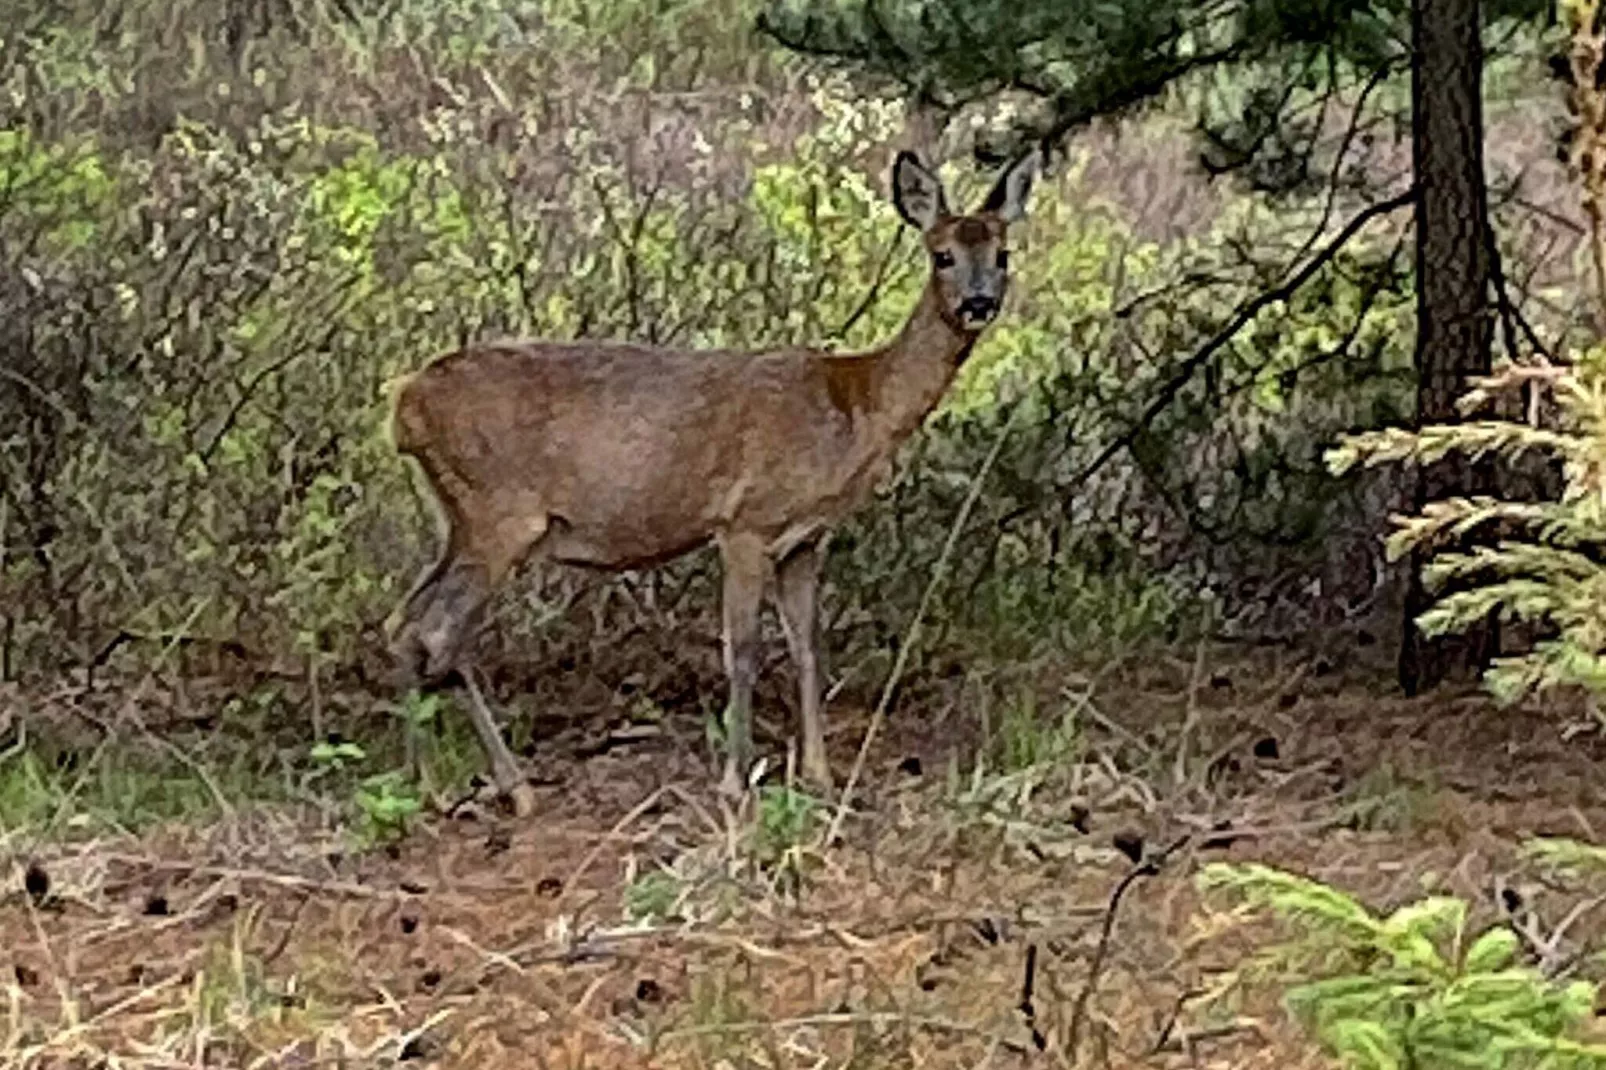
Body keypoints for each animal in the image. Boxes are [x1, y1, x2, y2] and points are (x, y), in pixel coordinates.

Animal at [383, 141, 1047, 809]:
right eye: (942, 255)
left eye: (1003, 253)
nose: (979, 303)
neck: (854, 404)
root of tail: (405, 407)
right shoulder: (745, 522)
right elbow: (744, 651)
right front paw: (735, 780)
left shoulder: (805, 538)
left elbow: (808, 649)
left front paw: (819, 775)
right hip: (501, 513)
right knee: (436, 633)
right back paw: (489, 788)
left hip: (461, 517)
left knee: (406, 622)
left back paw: (431, 782)